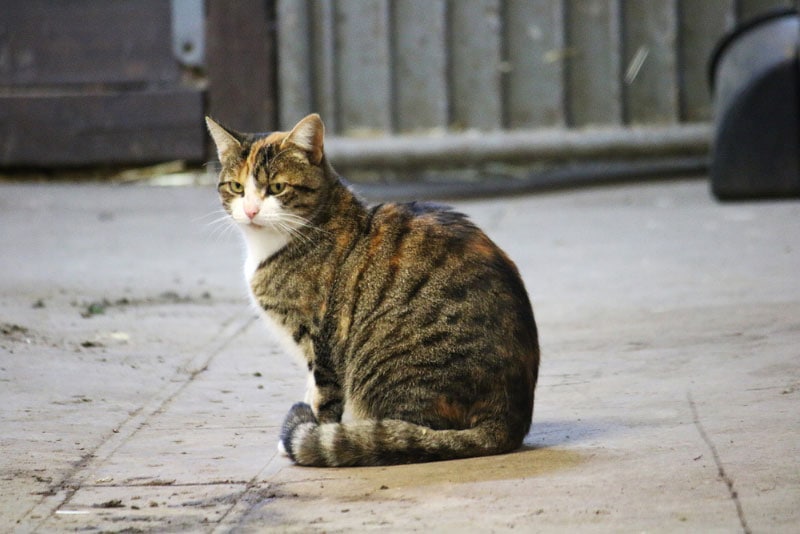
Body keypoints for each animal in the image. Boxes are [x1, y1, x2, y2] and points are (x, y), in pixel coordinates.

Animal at [206, 115, 540, 466]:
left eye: (277, 188)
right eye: (237, 187)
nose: (251, 211)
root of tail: (509, 421)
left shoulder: (321, 340)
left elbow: (323, 396)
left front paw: (310, 433)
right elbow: (311, 389)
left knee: (409, 432)